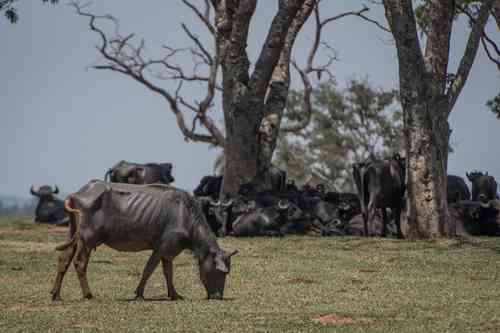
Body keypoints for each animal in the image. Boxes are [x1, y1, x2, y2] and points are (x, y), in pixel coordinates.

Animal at [49, 180, 237, 300]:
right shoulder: (162, 247)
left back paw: (56, 294)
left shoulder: (168, 252)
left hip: (73, 235)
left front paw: (174, 294)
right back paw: (88, 294)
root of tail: (76, 193)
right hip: (88, 239)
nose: (218, 296)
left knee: (64, 259)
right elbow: (149, 269)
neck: (185, 216)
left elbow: (168, 272)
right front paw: (139, 293)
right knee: (80, 263)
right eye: (222, 272)